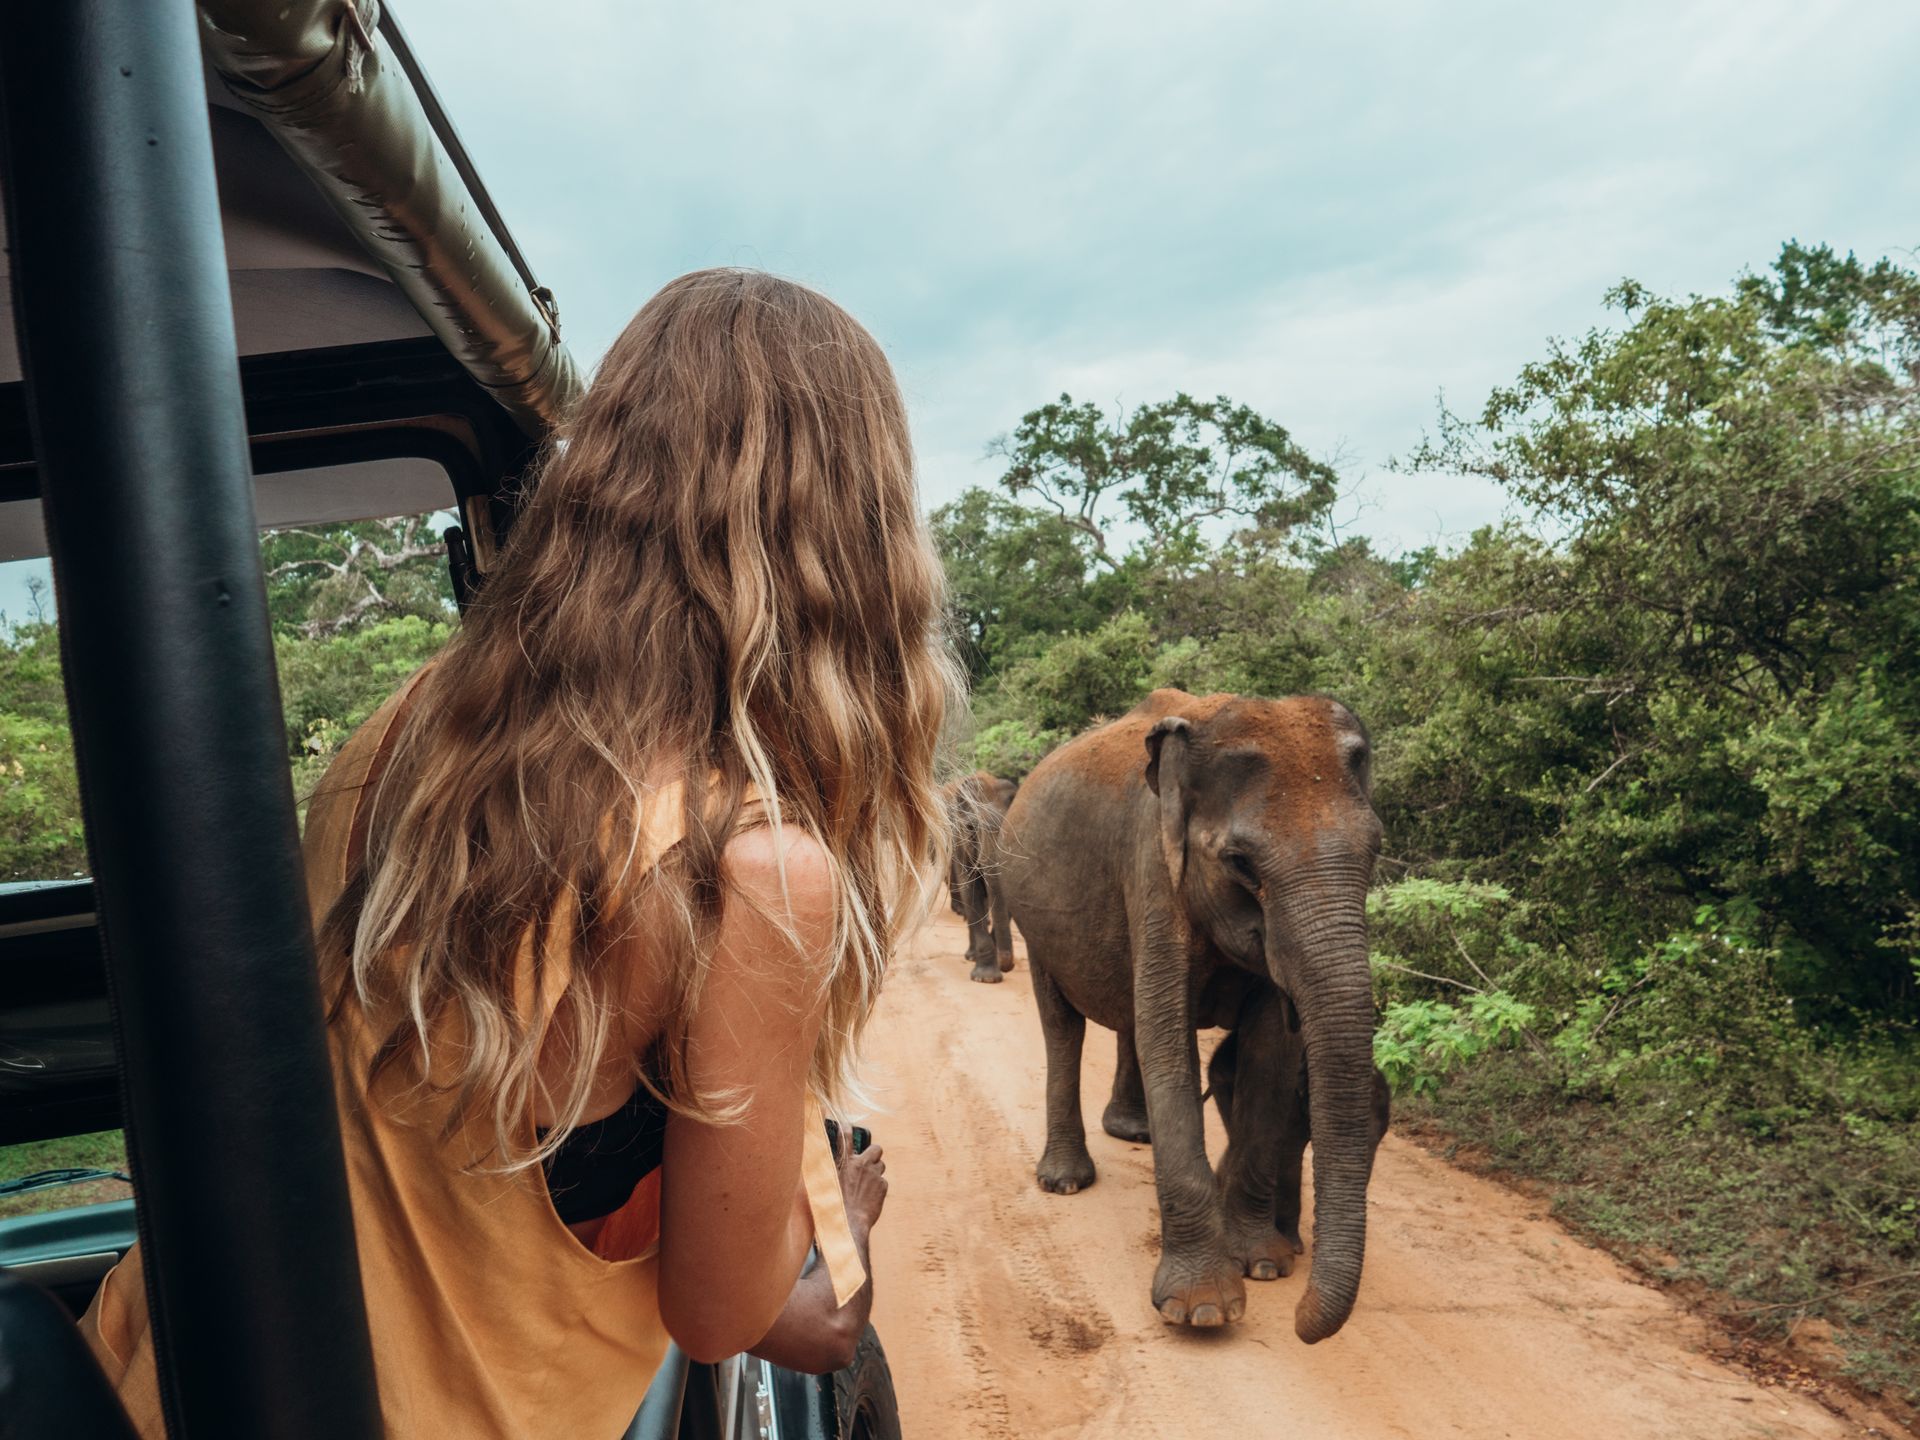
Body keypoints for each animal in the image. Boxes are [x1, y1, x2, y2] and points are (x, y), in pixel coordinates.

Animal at [943, 770, 1018, 983]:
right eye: (971, 828)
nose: (1008, 967)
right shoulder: (961, 844)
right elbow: (970, 892)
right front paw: (986, 979)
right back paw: (971, 956)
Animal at [996, 688, 1385, 1342]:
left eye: (1376, 849)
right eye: (1240, 862)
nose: (1301, 1325)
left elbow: (1267, 1055)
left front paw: (1264, 1266)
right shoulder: (1152, 871)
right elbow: (1168, 1038)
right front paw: (1202, 1310)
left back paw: (1134, 1133)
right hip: (1033, 917)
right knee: (1061, 1027)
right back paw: (1066, 1180)